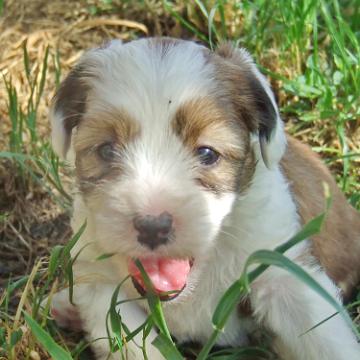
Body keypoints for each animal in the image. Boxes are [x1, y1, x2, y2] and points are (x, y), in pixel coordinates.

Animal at [48, 38, 360, 358]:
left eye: (207, 154)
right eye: (107, 150)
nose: (152, 227)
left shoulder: (281, 270)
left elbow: (326, 339)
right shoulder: (99, 283)